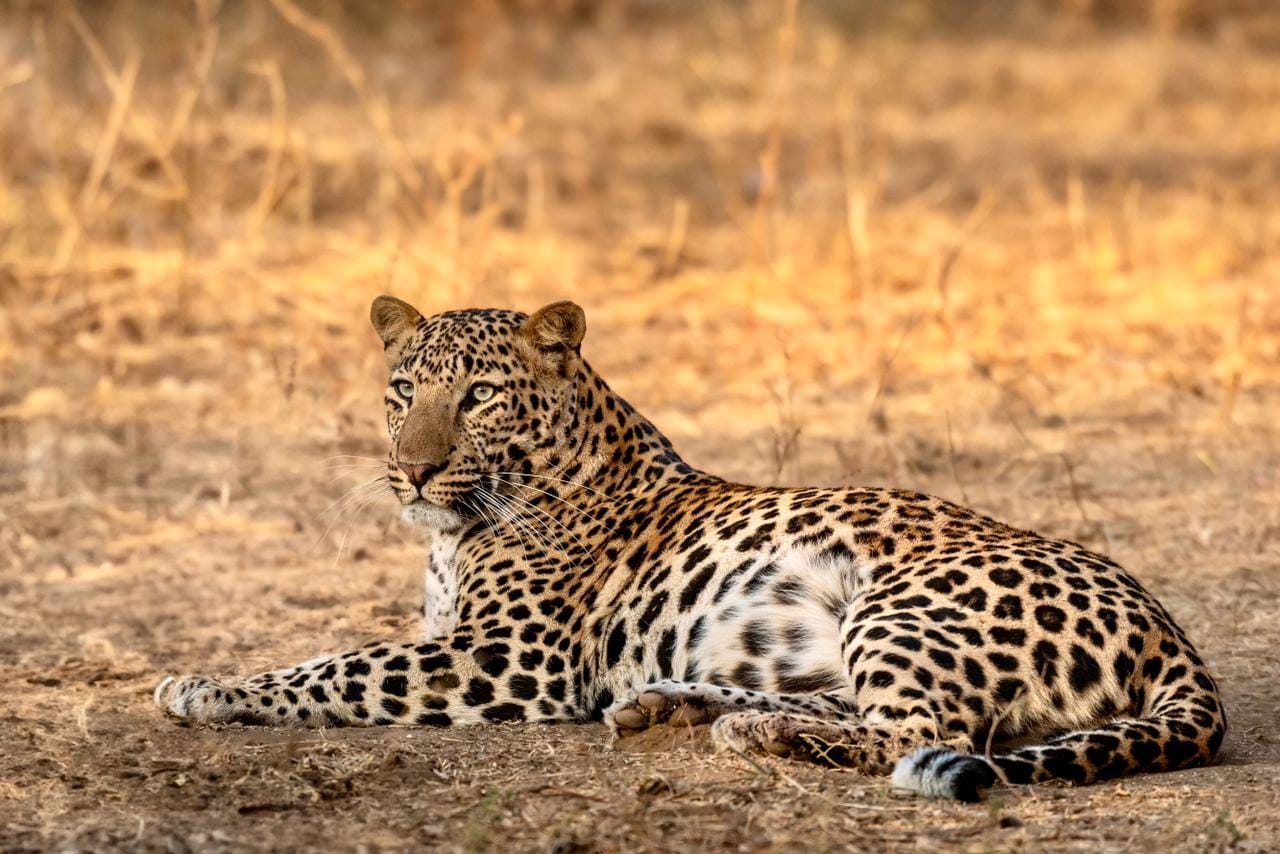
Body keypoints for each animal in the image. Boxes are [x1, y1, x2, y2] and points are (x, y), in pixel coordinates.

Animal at [154, 296, 1226, 801]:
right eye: (403, 390)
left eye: (480, 395)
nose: (411, 472)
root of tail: (1170, 631)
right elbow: (346, 653)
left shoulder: (509, 657)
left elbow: (336, 665)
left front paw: (205, 684)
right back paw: (675, 707)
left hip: (904, 604)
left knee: (925, 735)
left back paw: (746, 732)